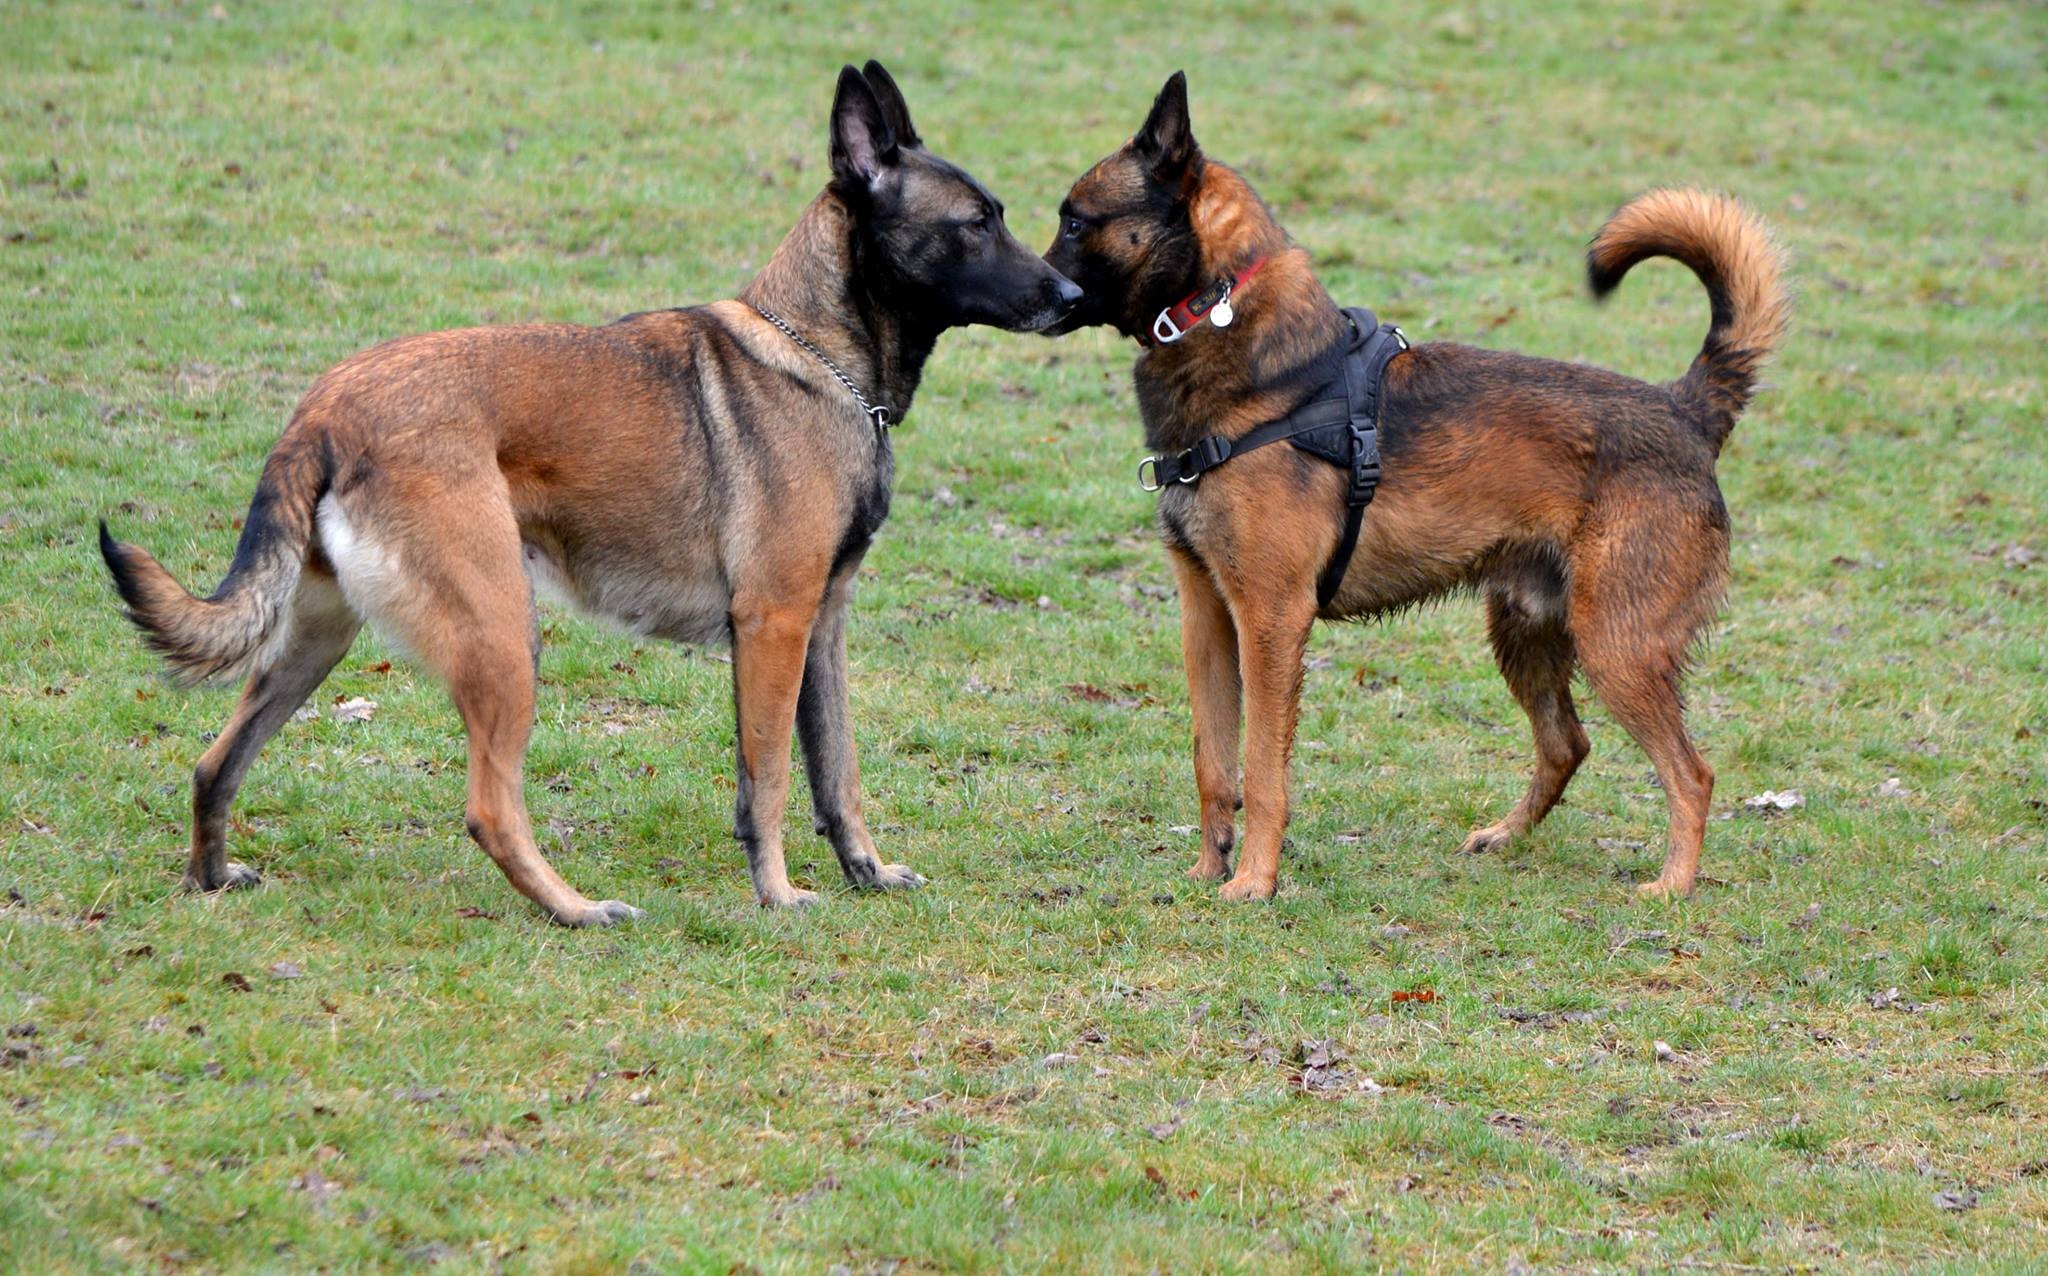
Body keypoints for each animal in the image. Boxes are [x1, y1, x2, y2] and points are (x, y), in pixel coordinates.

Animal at [1048, 74, 1785, 905]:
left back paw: (1672, 884)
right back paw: (1505, 836)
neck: (1241, 340)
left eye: (1075, 221)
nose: (1042, 290)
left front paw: (1254, 882)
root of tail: (1686, 408)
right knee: (1567, 743)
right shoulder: (1206, 618)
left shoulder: (1270, 622)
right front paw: (1209, 870)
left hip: (1616, 646)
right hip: (1526, 631)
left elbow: (1263, 772)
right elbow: (1213, 760)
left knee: (1691, 772)